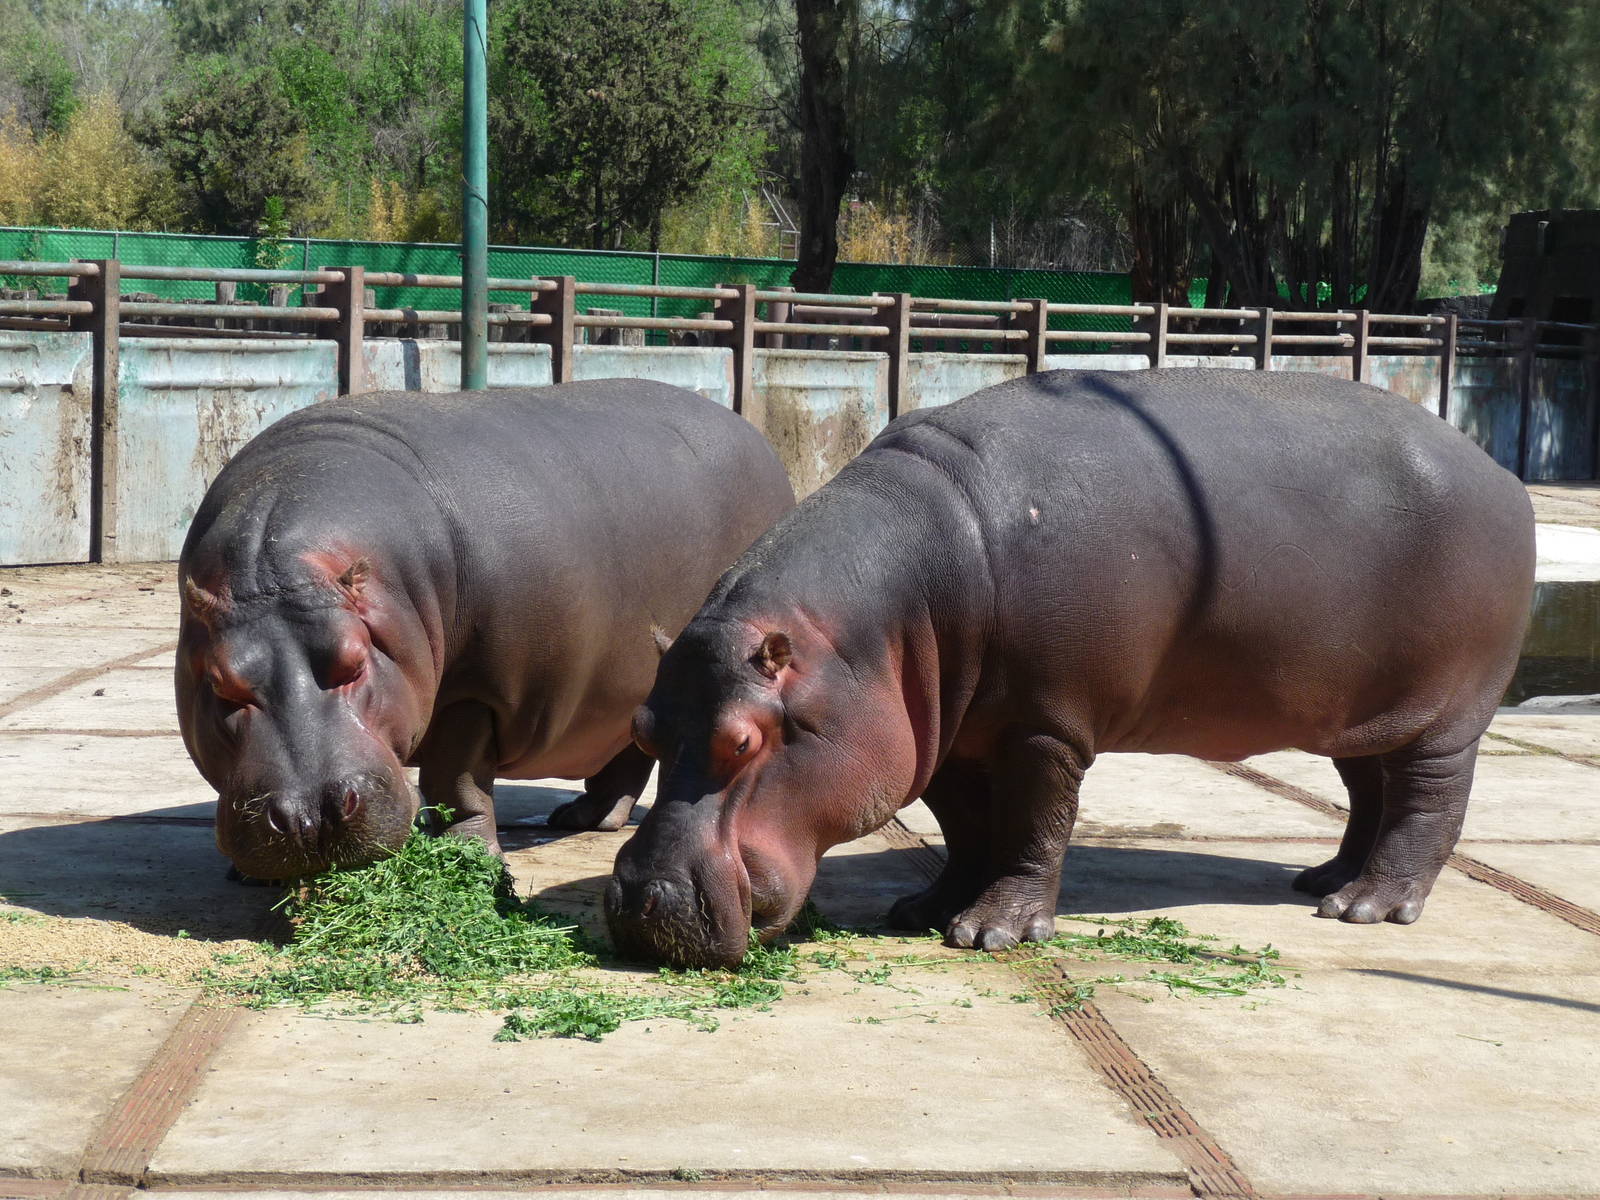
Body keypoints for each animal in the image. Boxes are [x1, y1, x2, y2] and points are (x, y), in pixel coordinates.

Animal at [176, 380, 795, 880]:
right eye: (219, 682)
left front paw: (468, 858)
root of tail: (752, 432)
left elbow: (457, 780)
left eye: (353, 661)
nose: (311, 815)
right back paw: (577, 816)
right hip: (632, 682)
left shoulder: (474, 692)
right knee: (628, 751)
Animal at [606, 369, 1536, 967]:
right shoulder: (946, 732)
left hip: (1447, 712)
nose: (643, 899)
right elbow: (965, 828)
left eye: (743, 741)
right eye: (643, 730)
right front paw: (926, 909)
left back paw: (1366, 909)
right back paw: (1324, 879)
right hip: (1360, 710)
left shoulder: (1044, 725)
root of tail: (1503, 474)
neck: (880, 624)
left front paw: (991, 933)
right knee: (1369, 789)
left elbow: (1033, 826)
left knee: (1427, 802)